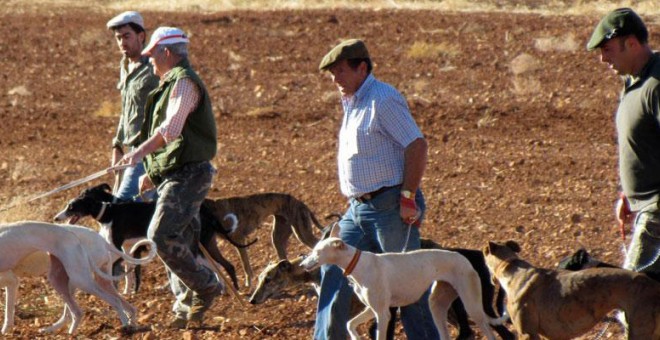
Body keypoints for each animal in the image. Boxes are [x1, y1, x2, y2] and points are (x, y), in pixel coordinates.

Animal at [0, 222, 157, 334]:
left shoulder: (12, 281)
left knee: (112, 302)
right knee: (79, 312)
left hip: (80, 280)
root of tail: (101, 240)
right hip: (68, 279)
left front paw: (5, 330)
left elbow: (8, 310)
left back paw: (124, 327)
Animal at [52, 183, 250, 292]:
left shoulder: (121, 247)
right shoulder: (128, 249)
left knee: (214, 266)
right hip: (204, 245)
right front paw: (128, 290)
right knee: (221, 266)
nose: (56, 218)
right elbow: (130, 271)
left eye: (71, 206)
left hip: (198, 247)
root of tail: (206, 210)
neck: (110, 211)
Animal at [300, 236, 506, 340]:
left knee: (489, 332)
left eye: (317, 251)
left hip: (472, 306)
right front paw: (356, 337)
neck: (359, 264)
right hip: (437, 304)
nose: (302, 265)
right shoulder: (372, 309)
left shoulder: (383, 314)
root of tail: (465, 259)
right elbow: (349, 323)